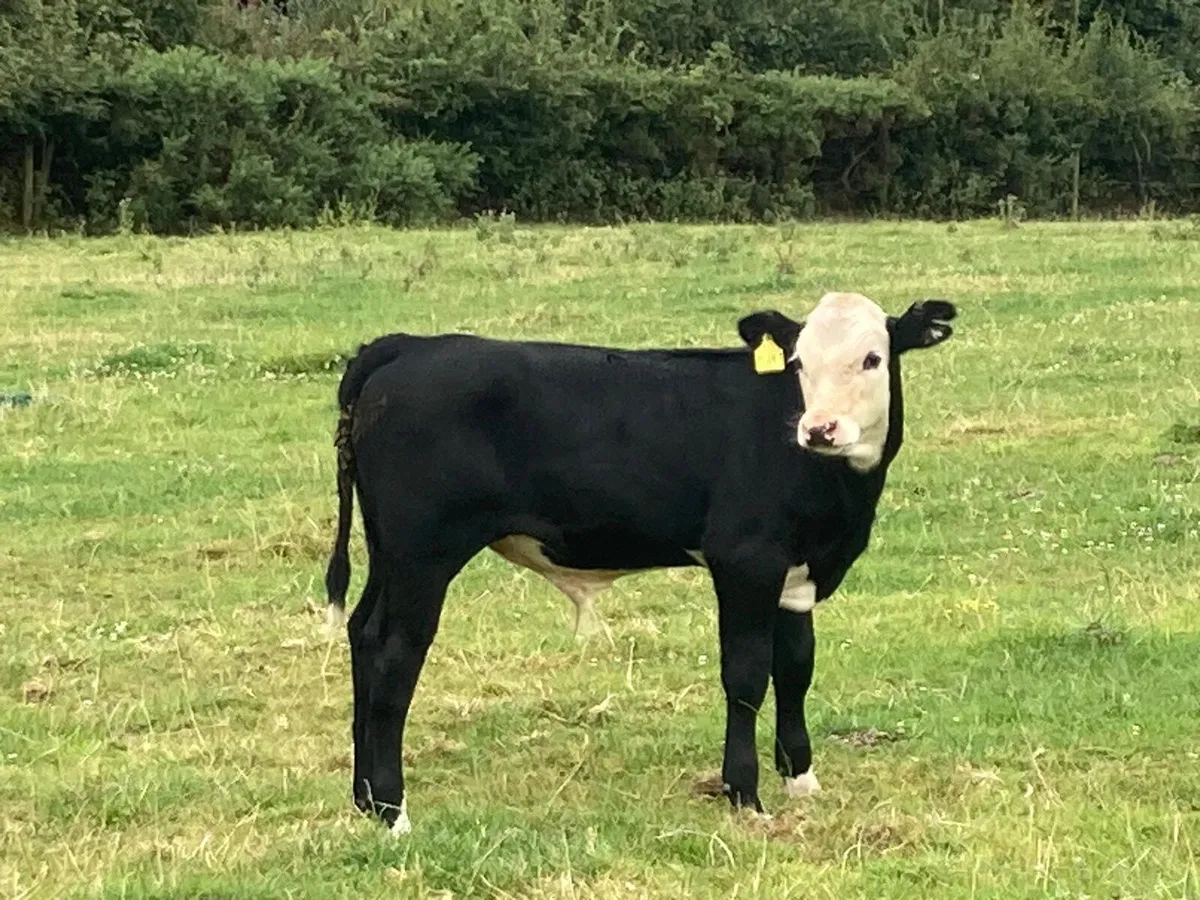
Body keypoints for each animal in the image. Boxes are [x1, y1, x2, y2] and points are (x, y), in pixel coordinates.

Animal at [323, 291, 956, 834]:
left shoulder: (796, 574)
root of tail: (410, 346)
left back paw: (363, 799)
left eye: (873, 358)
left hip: (389, 554)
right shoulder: (745, 560)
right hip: (422, 555)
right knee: (393, 656)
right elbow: (747, 674)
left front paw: (801, 778)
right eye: (799, 362)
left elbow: (796, 667)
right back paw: (392, 810)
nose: (819, 428)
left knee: (363, 634)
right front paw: (743, 793)